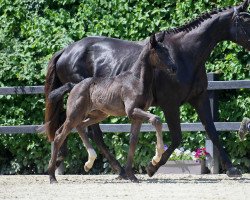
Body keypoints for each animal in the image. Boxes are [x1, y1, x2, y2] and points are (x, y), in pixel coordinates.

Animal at [48, 34, 170, 183]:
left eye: (167, 50)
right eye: (160, 52)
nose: (174, 67)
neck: (136, 80)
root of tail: (73, 85)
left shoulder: (137, 116)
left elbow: (133, 141)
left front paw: (131, 175)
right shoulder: (132, 111)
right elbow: (156, 119)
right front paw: (156, 157)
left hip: (97, 115)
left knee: (77, 127)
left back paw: (89, 162)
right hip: (75, 115)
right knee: (60, 135)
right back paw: (52, 176)